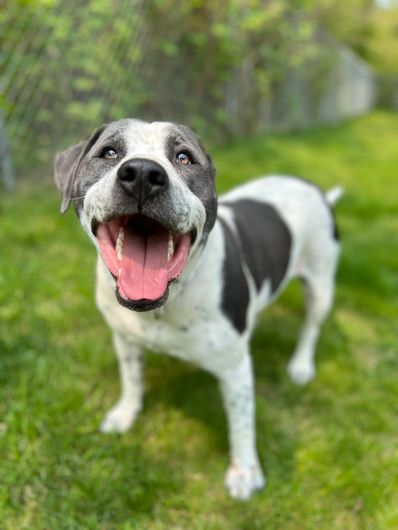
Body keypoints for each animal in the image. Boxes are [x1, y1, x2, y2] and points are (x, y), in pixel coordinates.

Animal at [54, 117, 342, 498]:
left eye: (184, 157)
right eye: (110, 152)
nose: (143, 173)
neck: (164, 303)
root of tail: (315, 190)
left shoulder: (236, 370)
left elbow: (241, 423)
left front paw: (245, 472)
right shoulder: (124, 339)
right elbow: (131, 379)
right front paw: (125, 413)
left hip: (321, 284)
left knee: (311, 326)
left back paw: (301, 365)